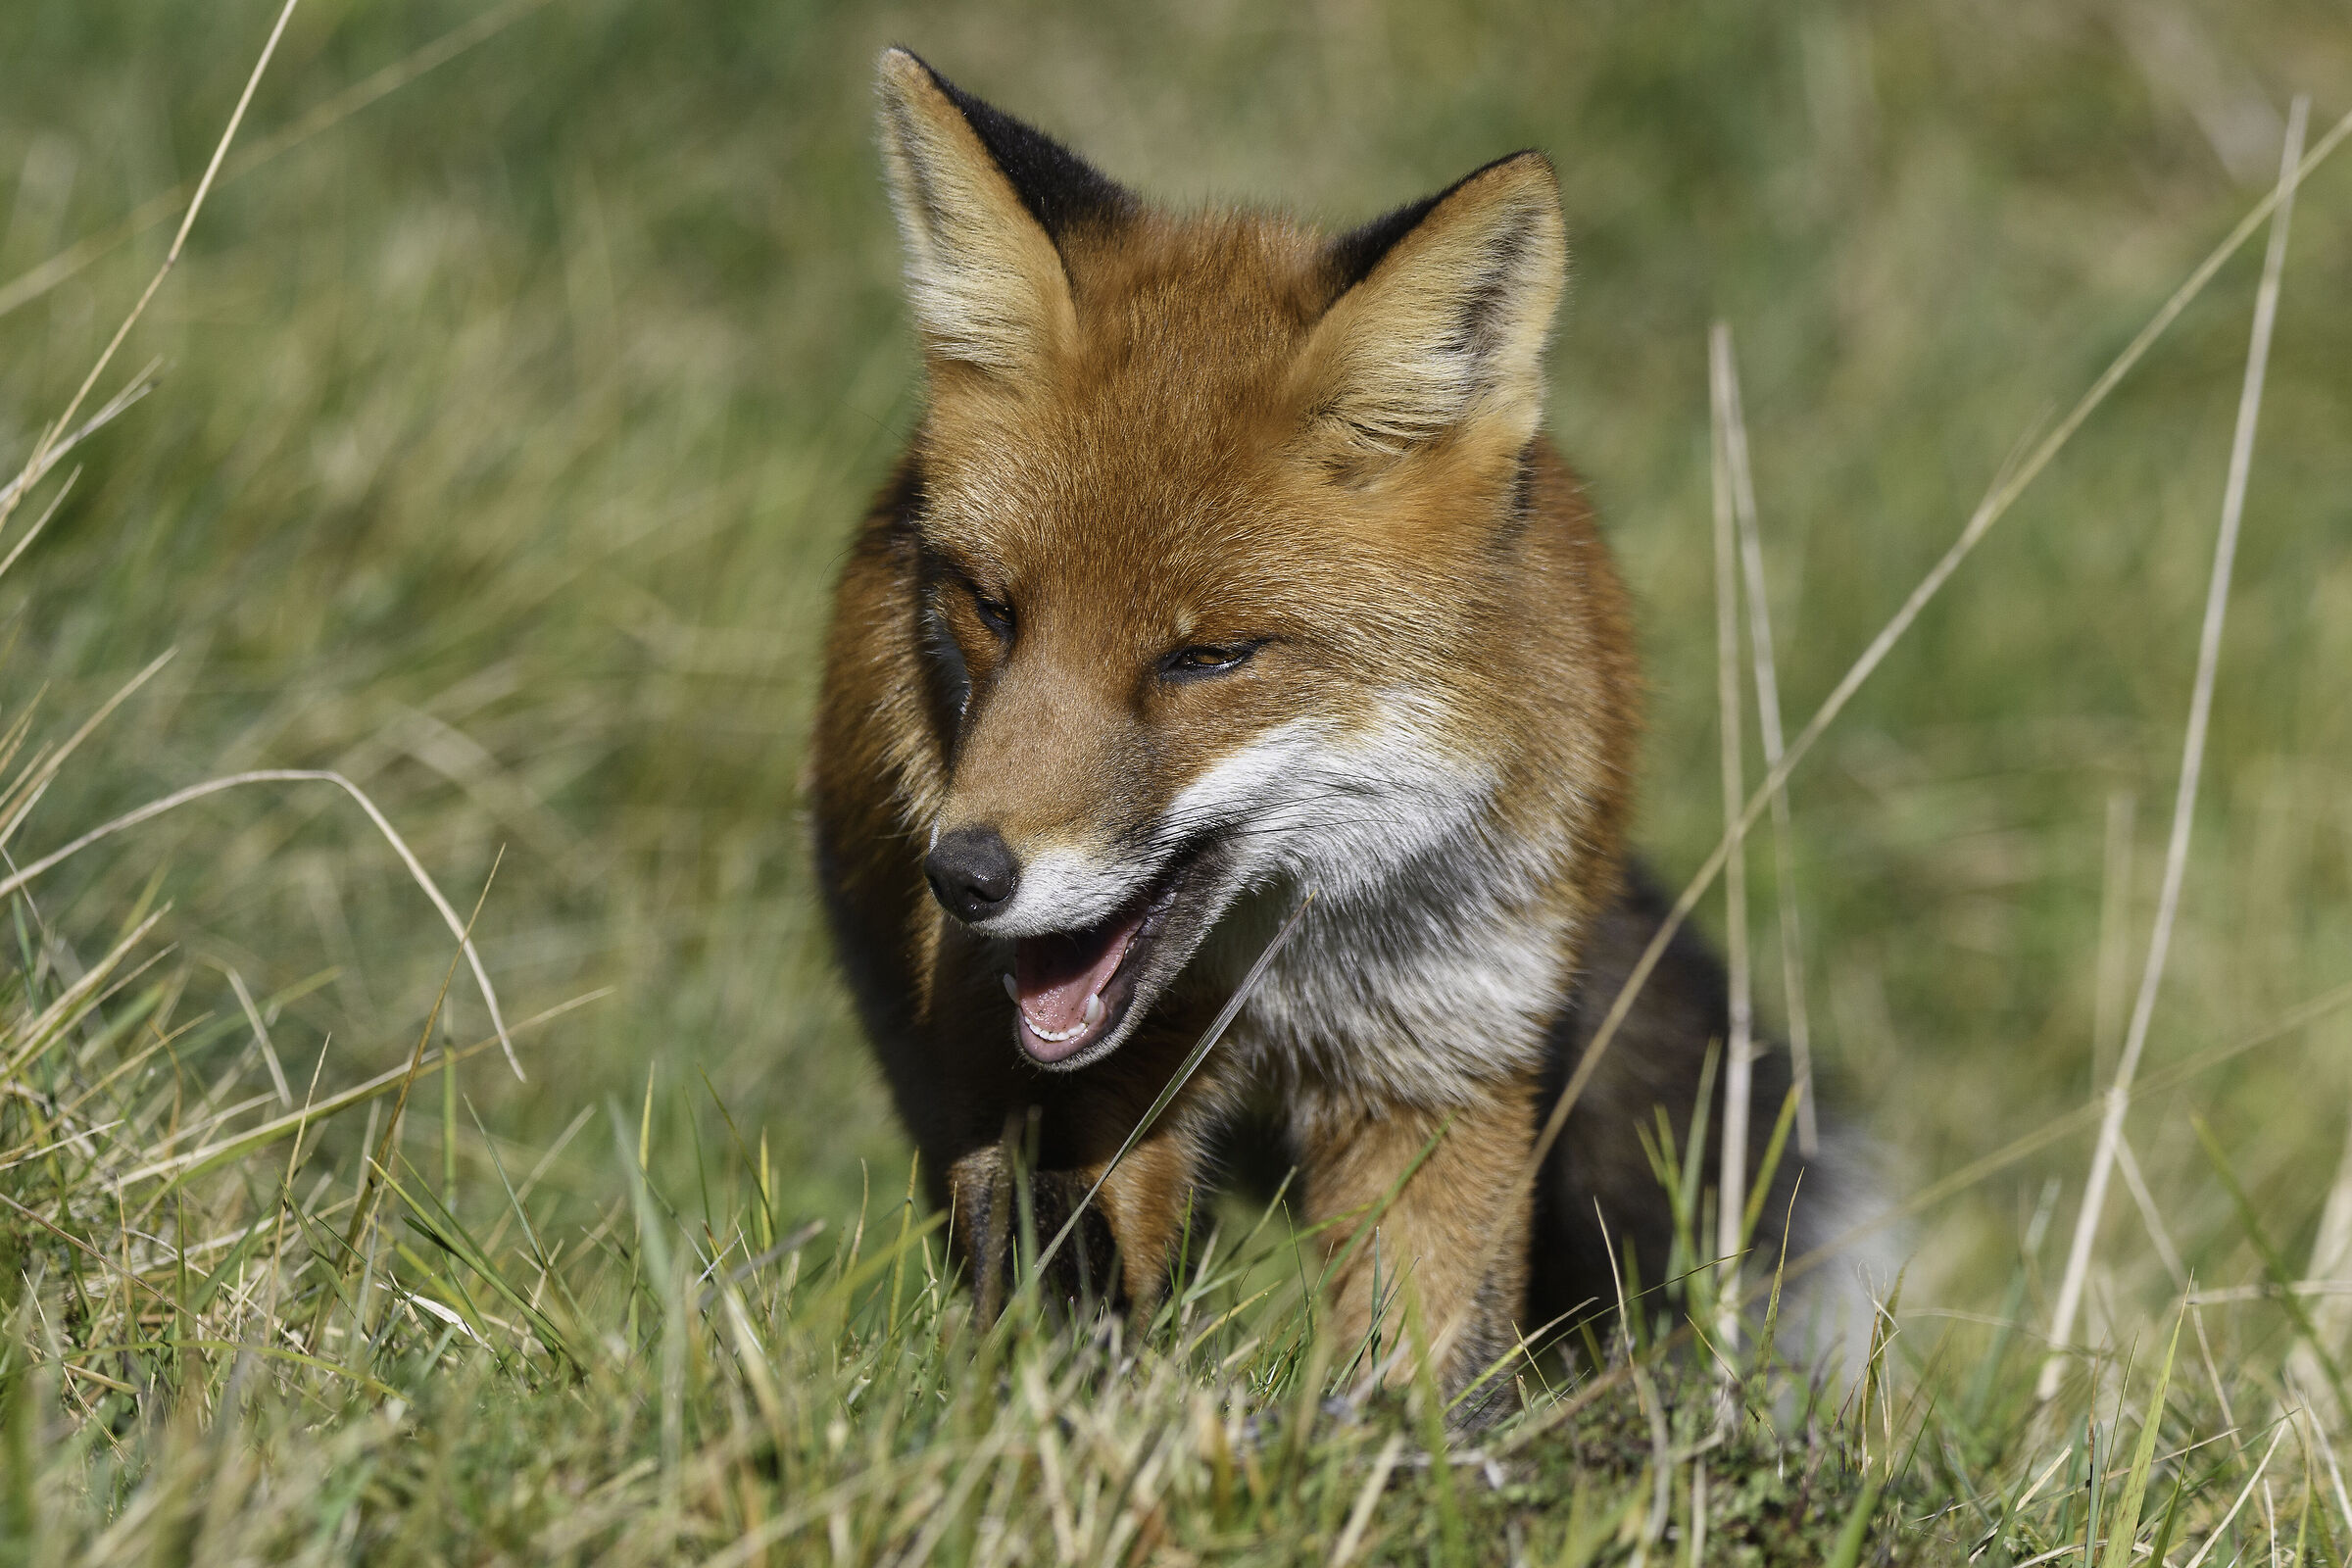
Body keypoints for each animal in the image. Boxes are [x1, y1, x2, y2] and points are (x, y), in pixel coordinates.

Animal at [811, 48, 1875, 1419]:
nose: (967, 877)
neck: (1284, 978)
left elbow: (1419, 1365)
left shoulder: (1440, 1080)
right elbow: (1075, 1257)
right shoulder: (1074, 1089)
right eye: (993, 609)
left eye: (1205, 657)